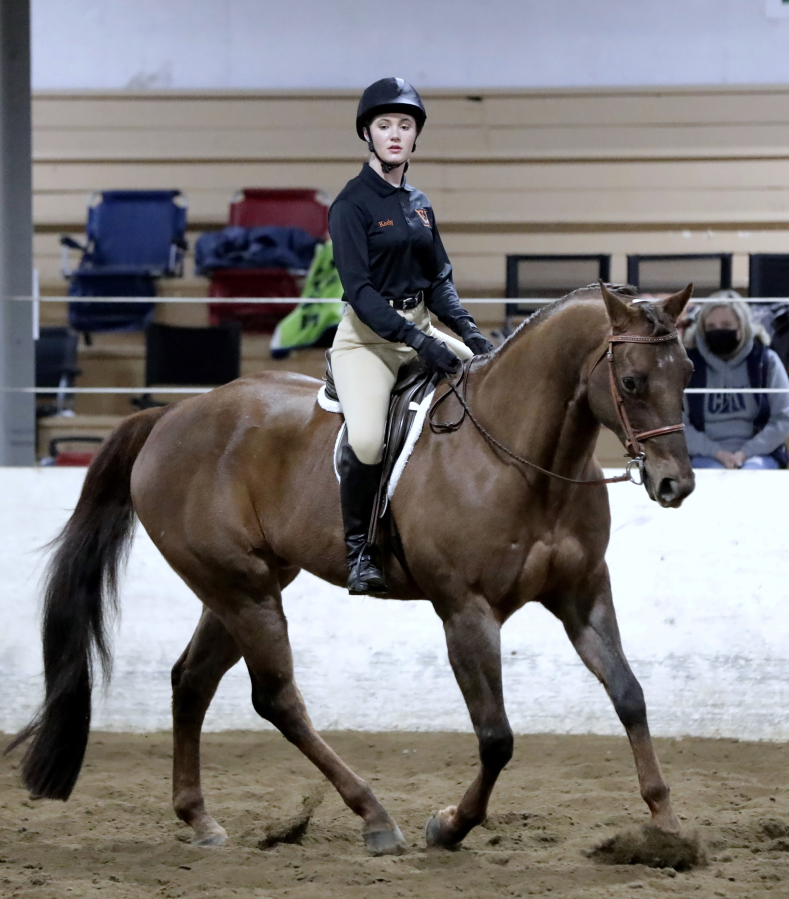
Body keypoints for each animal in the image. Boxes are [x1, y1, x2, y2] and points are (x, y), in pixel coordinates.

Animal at [12, 282, 692, 856]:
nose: (675, 484)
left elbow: (629, 695)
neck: (520, 458)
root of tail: (171, 416)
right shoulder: (465, 611)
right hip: (243, 591)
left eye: (687, 373)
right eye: (632, 382)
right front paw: (449, 826)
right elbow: (496, 736)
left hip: (242, 586)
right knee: (276, 698)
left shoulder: (583, 593)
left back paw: (200, 819)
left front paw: (665, 826)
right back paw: (374, 816)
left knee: (192, 681)